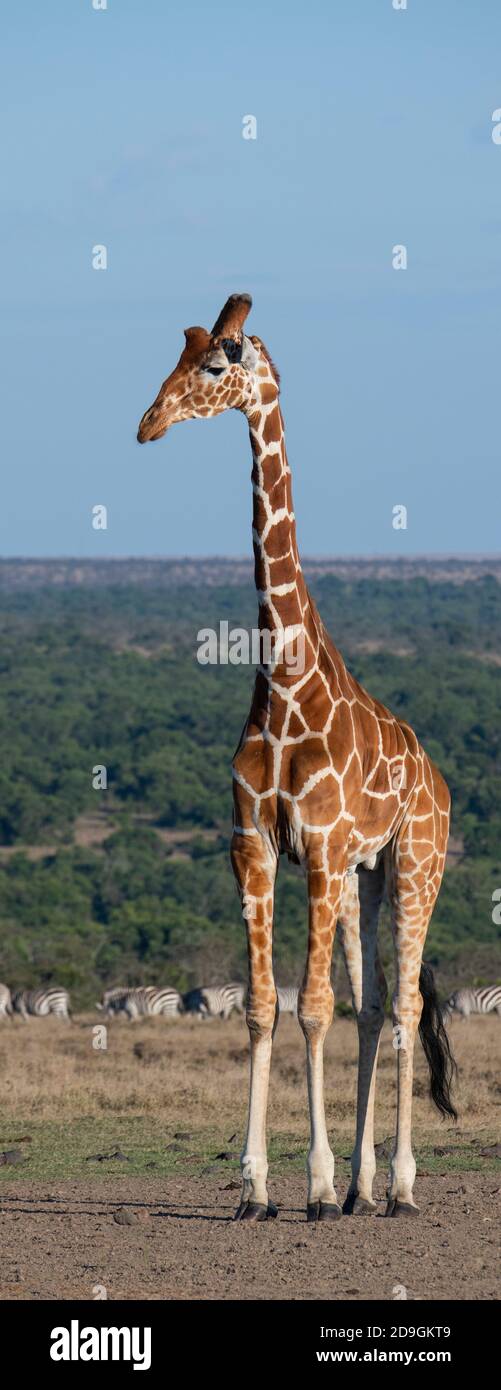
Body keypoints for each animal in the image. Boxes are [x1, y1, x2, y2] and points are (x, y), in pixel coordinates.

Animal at [138, 294, 456, 1222]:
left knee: (404, 1001)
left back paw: (397, 1186)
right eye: (179, 357)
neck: (282, 680)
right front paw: (256, 1188)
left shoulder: (314, 850)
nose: (148, 423)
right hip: (365, 878)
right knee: (374, 1002)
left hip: (416, 864)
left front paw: (308, 1184)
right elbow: (262, 1009)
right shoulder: (253, 848)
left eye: (218, 364)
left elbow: (311, 1008)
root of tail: (438, 776)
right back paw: (360, 1187)